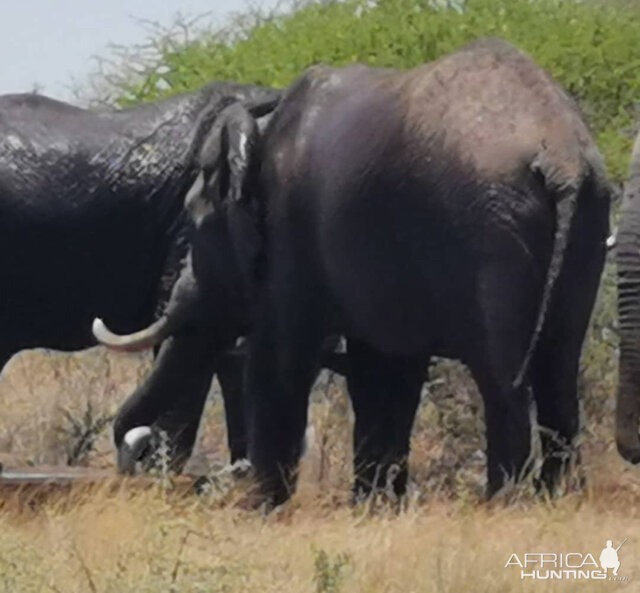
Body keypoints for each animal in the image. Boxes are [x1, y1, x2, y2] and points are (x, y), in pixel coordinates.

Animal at [97, 37, 612, 502]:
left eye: (196, 220)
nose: (136, 449)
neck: (261, 124)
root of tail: (562, 156)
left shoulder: (292, 233)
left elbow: (279, 362)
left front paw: (264, 509)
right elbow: (384, 371)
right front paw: (373, 507)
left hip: (491, 229)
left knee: (505, 381)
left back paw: (501, 505)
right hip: (585, 220)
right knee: (559, 375)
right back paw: (554, 500)